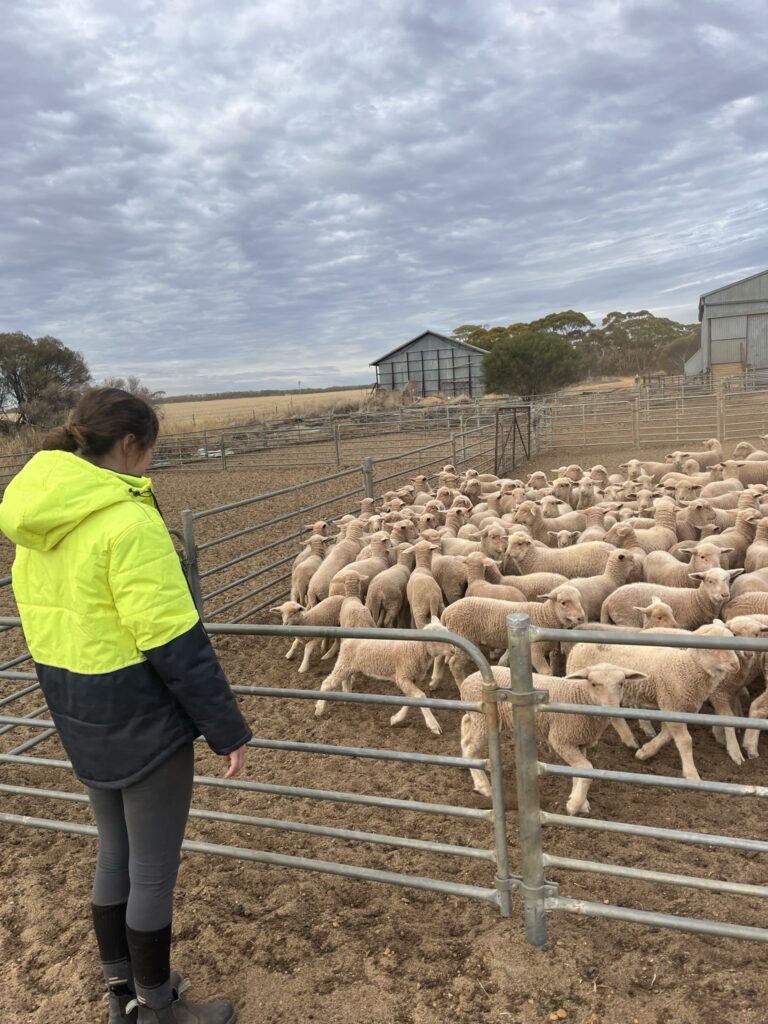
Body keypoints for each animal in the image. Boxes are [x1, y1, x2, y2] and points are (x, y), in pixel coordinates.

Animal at [315, 610, 454, 733]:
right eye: (438, 639)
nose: (453, 650)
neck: (417, 648)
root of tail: (347, 640)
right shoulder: (402, 676)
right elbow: (420, 696)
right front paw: (434, 725)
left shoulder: (413, 679)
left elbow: (411, 699)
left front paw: (396, 719)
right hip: (344, 664)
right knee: (327, 683)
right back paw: (319, 708)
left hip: (348, 666)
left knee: (346, 680)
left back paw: (347, 698)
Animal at [462, 663, 651, 815]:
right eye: (594, 683)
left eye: (621, 683)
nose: (612, 708)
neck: (579, 698)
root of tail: (469, 678)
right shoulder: (561, 739)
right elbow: (587, 769)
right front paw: (574, 805)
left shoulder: (580, 741)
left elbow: (579, 771)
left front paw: (580, 802)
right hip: (484, 720)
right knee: (471, 748)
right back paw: (483, 785)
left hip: (477, 717)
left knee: (465, 731)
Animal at [569, 618, 741, 778]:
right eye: (713, 647)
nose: (736, 665)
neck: (686, 667)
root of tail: (577, 647)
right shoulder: (672, 704)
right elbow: (685, 740)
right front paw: (692, 774)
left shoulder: (678, 707)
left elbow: (666, 735)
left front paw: (645, 751)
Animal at [602, 569, 741, 630]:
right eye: (710, 581)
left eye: (728, 580)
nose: (725, 595)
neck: (697, 600)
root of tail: (608, 599)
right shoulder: (684, 625)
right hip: (626, 619)